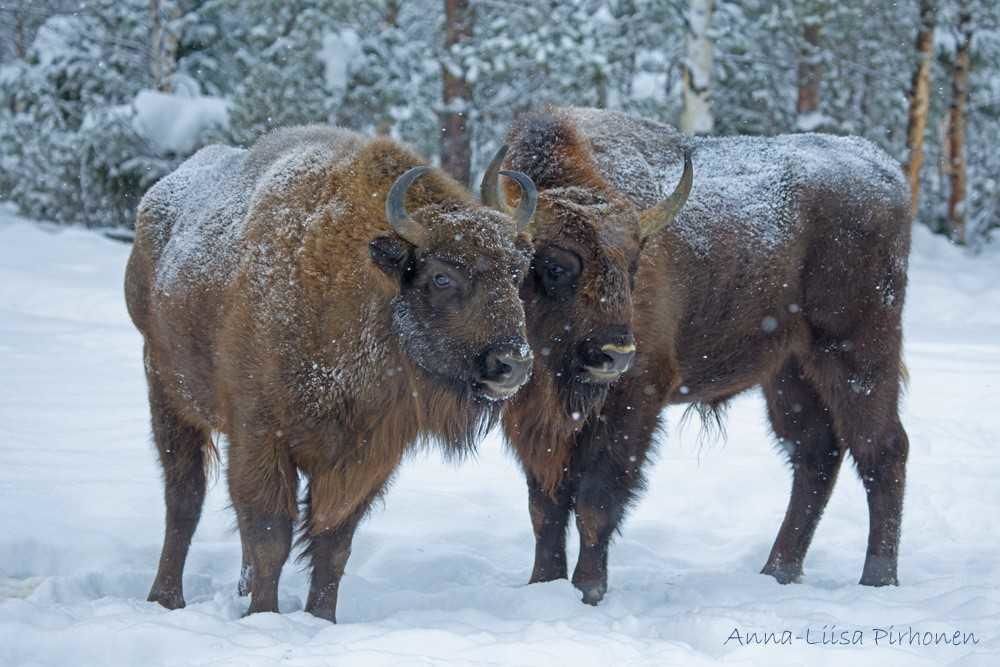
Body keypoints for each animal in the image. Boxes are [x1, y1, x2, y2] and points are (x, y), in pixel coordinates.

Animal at [129, 125, 544, 620]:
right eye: (441, 276)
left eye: (517, 273)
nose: (512, 364)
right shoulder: (261, 436)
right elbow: (270, 534)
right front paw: (264, 617)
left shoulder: (367, 455)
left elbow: (333, 542)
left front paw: (319, 619)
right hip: (167, 393)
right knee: (184, 497)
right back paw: (165, 597)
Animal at [492, 108, 916, 604]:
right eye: (556, 265)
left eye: (633, 266)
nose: (614, 354)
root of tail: (885, 171)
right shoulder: (537, 422)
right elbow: (545, 507)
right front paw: (544, 583)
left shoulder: (633, 403)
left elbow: (595, 501)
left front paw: (589, 590)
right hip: (788, 372)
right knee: (817, 452)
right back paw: (778, 571)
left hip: (857, 352)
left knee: (882, 448)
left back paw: (878, 579)